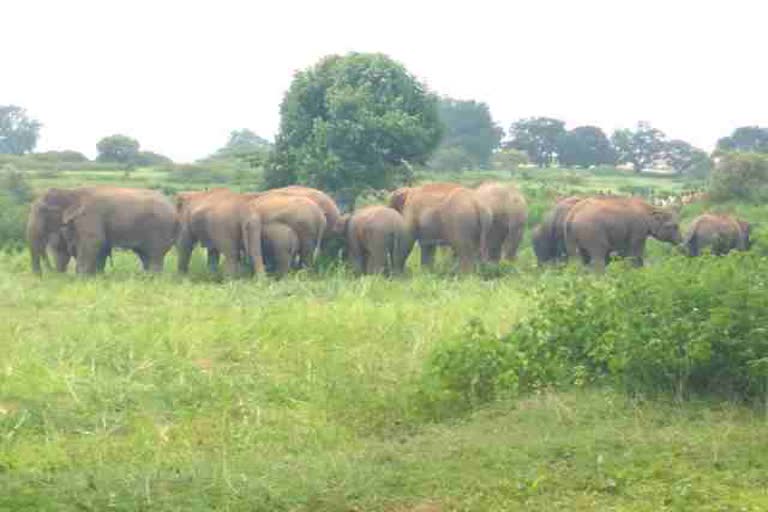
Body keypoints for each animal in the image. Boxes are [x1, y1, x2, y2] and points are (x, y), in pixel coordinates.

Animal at [30, 186, 178, 274]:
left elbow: (94, 243)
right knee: (145, 255)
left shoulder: (89, 216)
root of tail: (172, 205)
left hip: (160, 229)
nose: (41, 276)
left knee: (154, 255)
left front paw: (82, 279)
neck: (71, 192)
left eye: (43, 210)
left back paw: (153, 279)